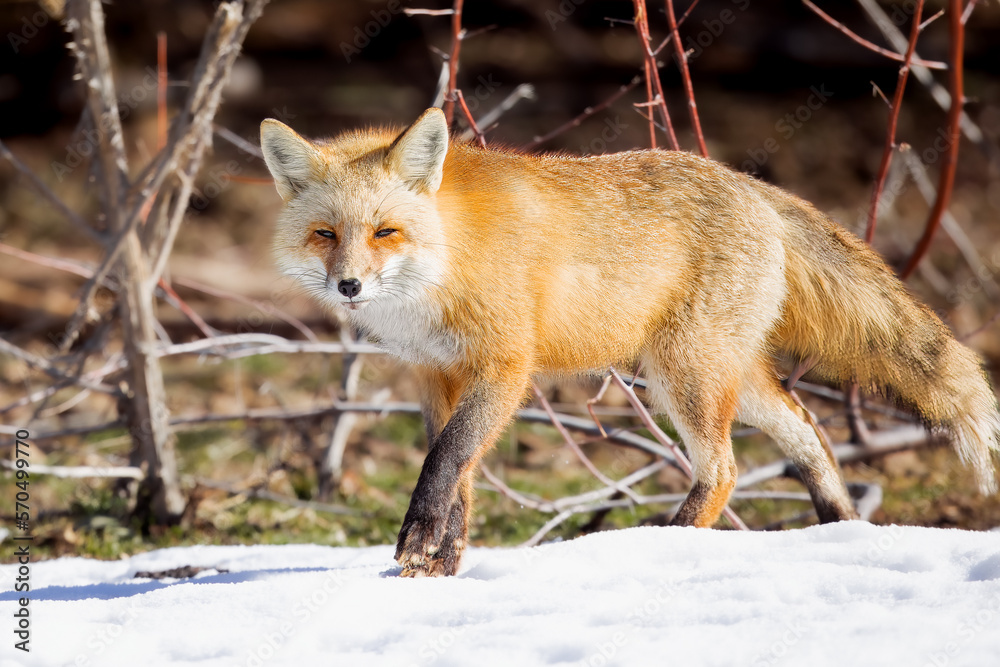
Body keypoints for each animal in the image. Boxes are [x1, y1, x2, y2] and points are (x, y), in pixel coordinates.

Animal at [260, 107, 1000, 577]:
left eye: (385, 232)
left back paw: (658, 542)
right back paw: (840, 522)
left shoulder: (505, 367)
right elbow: (460, 479)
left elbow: (445, 460)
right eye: (326, 234)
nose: (349, 285)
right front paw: (439, 568)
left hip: (686, 378)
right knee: (809, 430)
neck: (447, 261)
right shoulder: (437, 377)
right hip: (722, 378)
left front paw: (419, 543)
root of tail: (751, 185)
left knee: (724, 470)